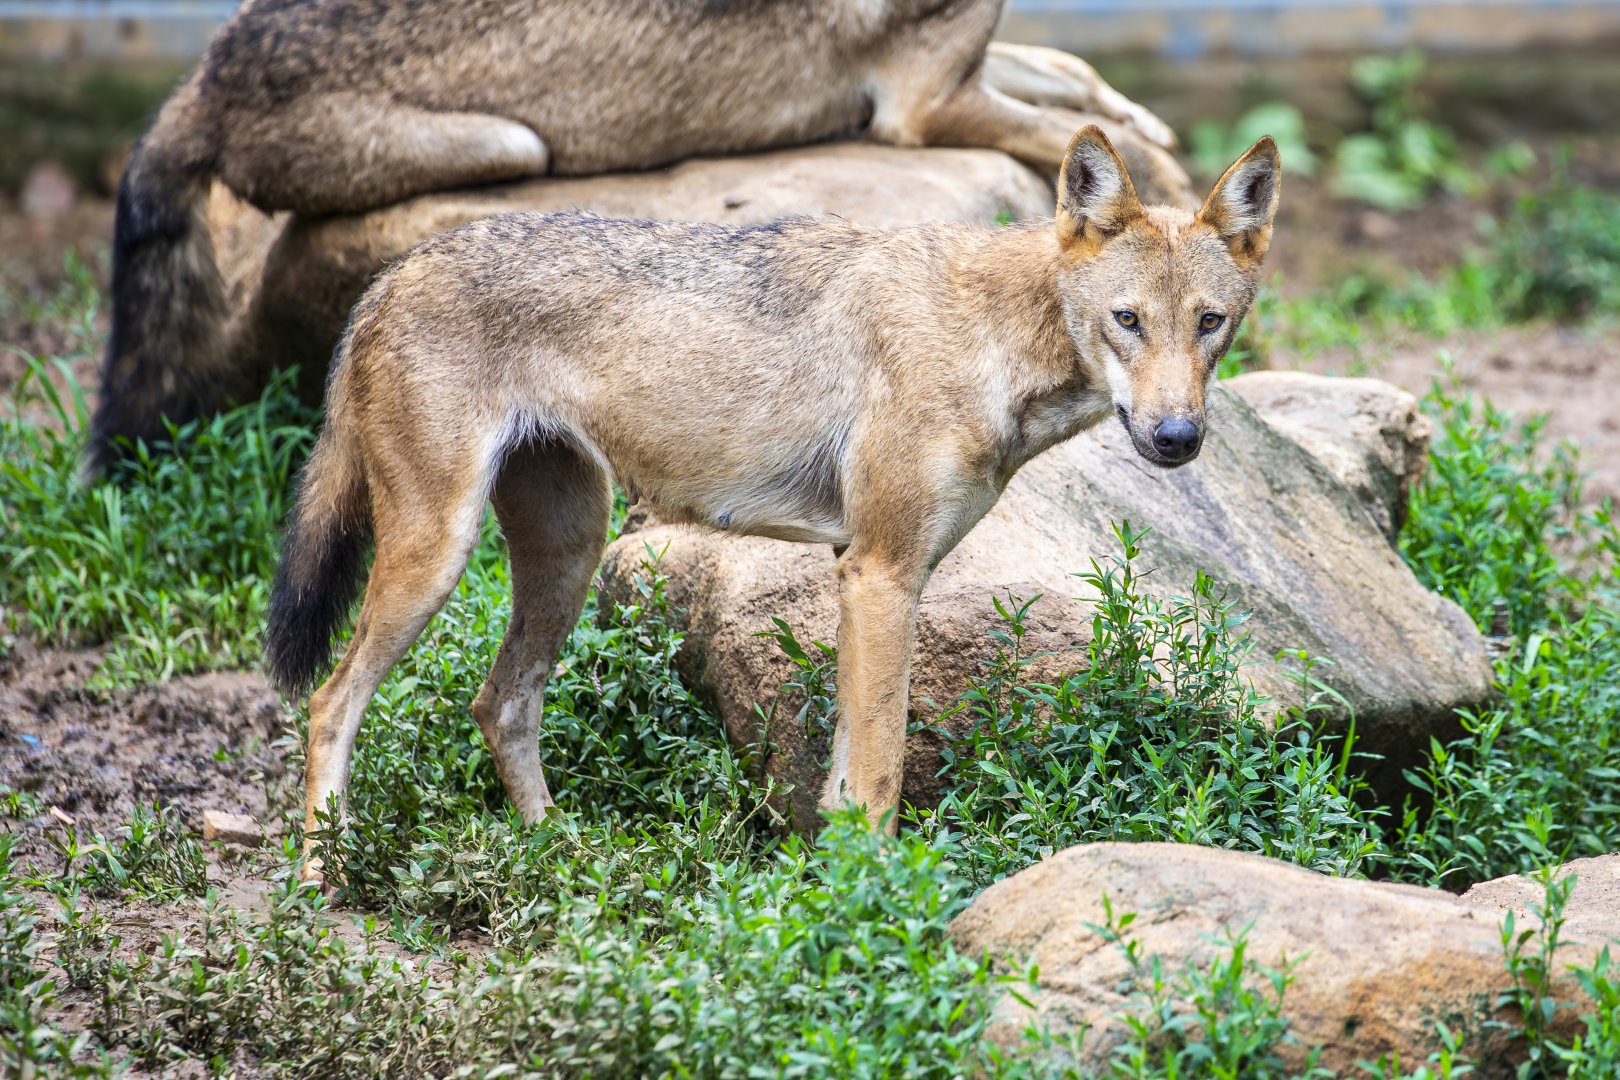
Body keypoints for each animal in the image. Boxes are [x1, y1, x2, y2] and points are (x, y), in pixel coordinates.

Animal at [89, 0, 1190, 474]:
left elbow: (1072, 77)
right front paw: (1167, 183)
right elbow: (1085, 135)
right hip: (514, 144)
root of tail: (202, 73)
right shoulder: (923, 105)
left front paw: (1154, 135)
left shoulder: (967, 67)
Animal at [262, 124, 1279, 877]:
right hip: (437, 556)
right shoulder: (880, 575)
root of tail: (389, 277)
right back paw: (323, 882)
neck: (991, 333)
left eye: (1210, 324)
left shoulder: (868, 576)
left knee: (499, 702)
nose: (1177, 438)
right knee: (328, 703)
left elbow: (841, 782)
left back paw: (556, 853)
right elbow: (878, 780)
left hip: (568, 551)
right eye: (1127, 321)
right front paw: (877, 914)